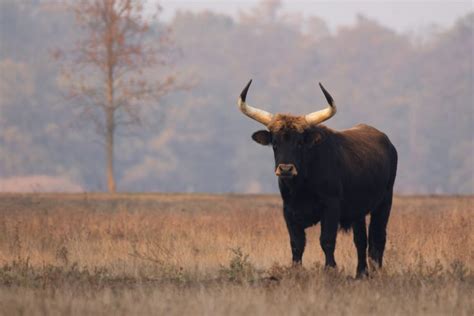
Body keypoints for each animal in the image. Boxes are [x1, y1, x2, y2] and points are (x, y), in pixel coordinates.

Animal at [236, 80, 396, 278]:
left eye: (299, 142)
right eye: (275, 143)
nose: (286, 169)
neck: (302, 187)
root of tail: (388, 143)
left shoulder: (331, 207)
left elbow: (326, 240)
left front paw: (330, 269)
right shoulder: (288, 211)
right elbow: (297, 243)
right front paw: (295, 270)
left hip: (384, 203)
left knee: (378, 238)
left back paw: (375, 271)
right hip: (358, 211)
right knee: (361, 240)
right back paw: (361, 273)